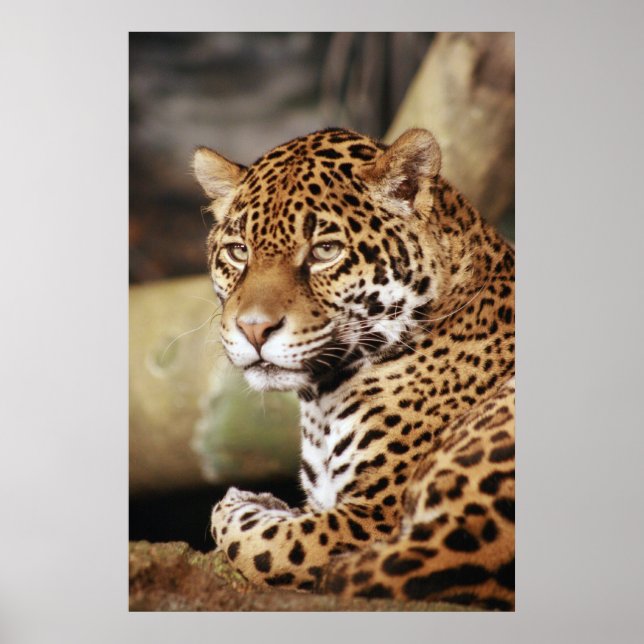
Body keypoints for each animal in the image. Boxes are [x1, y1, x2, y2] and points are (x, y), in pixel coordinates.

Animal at [192, 127, 515, 610]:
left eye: (325, 251)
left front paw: (245, 501)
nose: (253, 329)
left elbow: (269, 544)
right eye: (238, 251)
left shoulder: (374, 518)